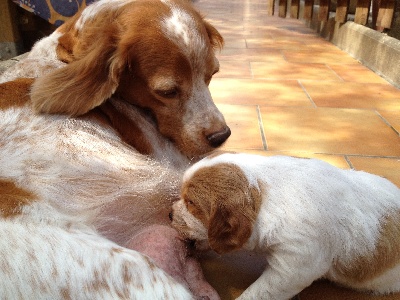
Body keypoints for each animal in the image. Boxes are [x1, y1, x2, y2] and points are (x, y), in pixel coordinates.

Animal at [0, 0, 230, 296]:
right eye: (167, 92)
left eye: (212, 75)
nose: (222, 136)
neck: (58, 59)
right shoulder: (172, 155)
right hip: (136, 271)